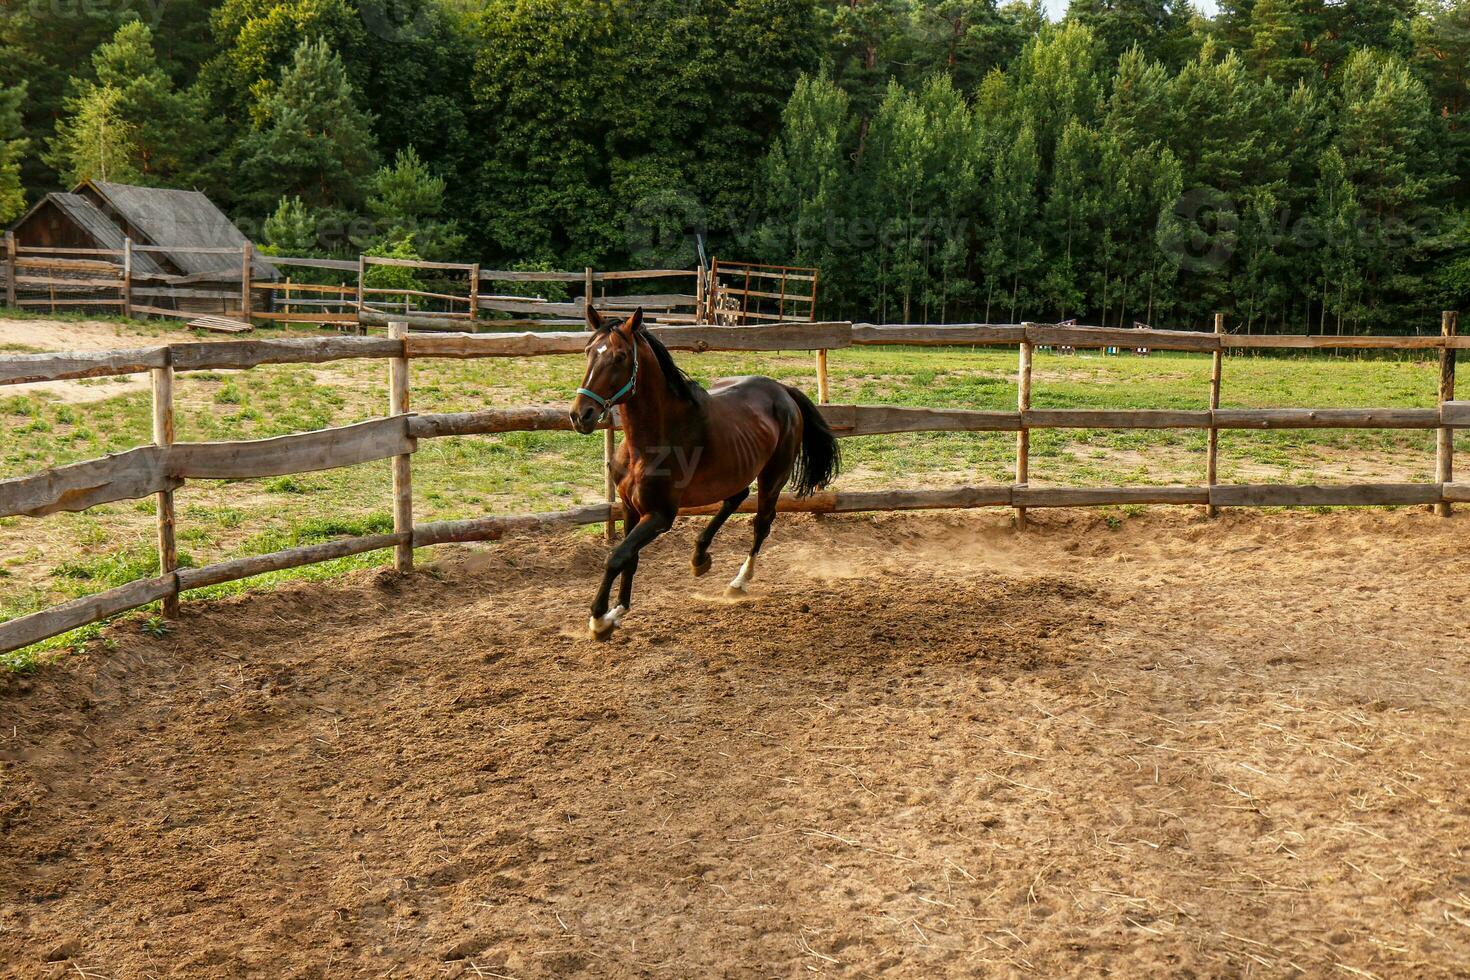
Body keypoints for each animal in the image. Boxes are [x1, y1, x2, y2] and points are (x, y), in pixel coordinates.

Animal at [567, 310, 840, 640]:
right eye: (588, 351)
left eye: (620, 356)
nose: (581, 415)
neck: (650, 443)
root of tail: (783, 390)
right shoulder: (630, 507)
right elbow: (629, 559)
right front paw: (617, 611)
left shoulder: (660, 515)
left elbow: (616, 558)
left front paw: (599, 620)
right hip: (734, 471)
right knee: (736, 498)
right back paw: (699, 558)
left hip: (773, 476)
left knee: (761, 523)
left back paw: (739, 582)